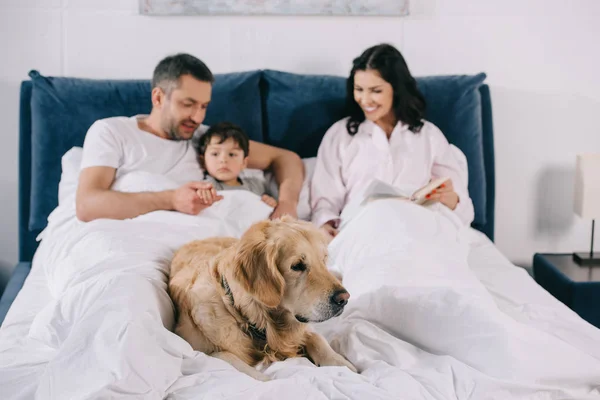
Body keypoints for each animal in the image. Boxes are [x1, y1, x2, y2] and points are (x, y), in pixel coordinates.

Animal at [169, 216, 356, 382]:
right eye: (297, 266)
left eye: (323, 260)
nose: (344, 299)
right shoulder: (199, 349)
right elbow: (229, 359)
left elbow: (318, 340)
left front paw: (344, 365)